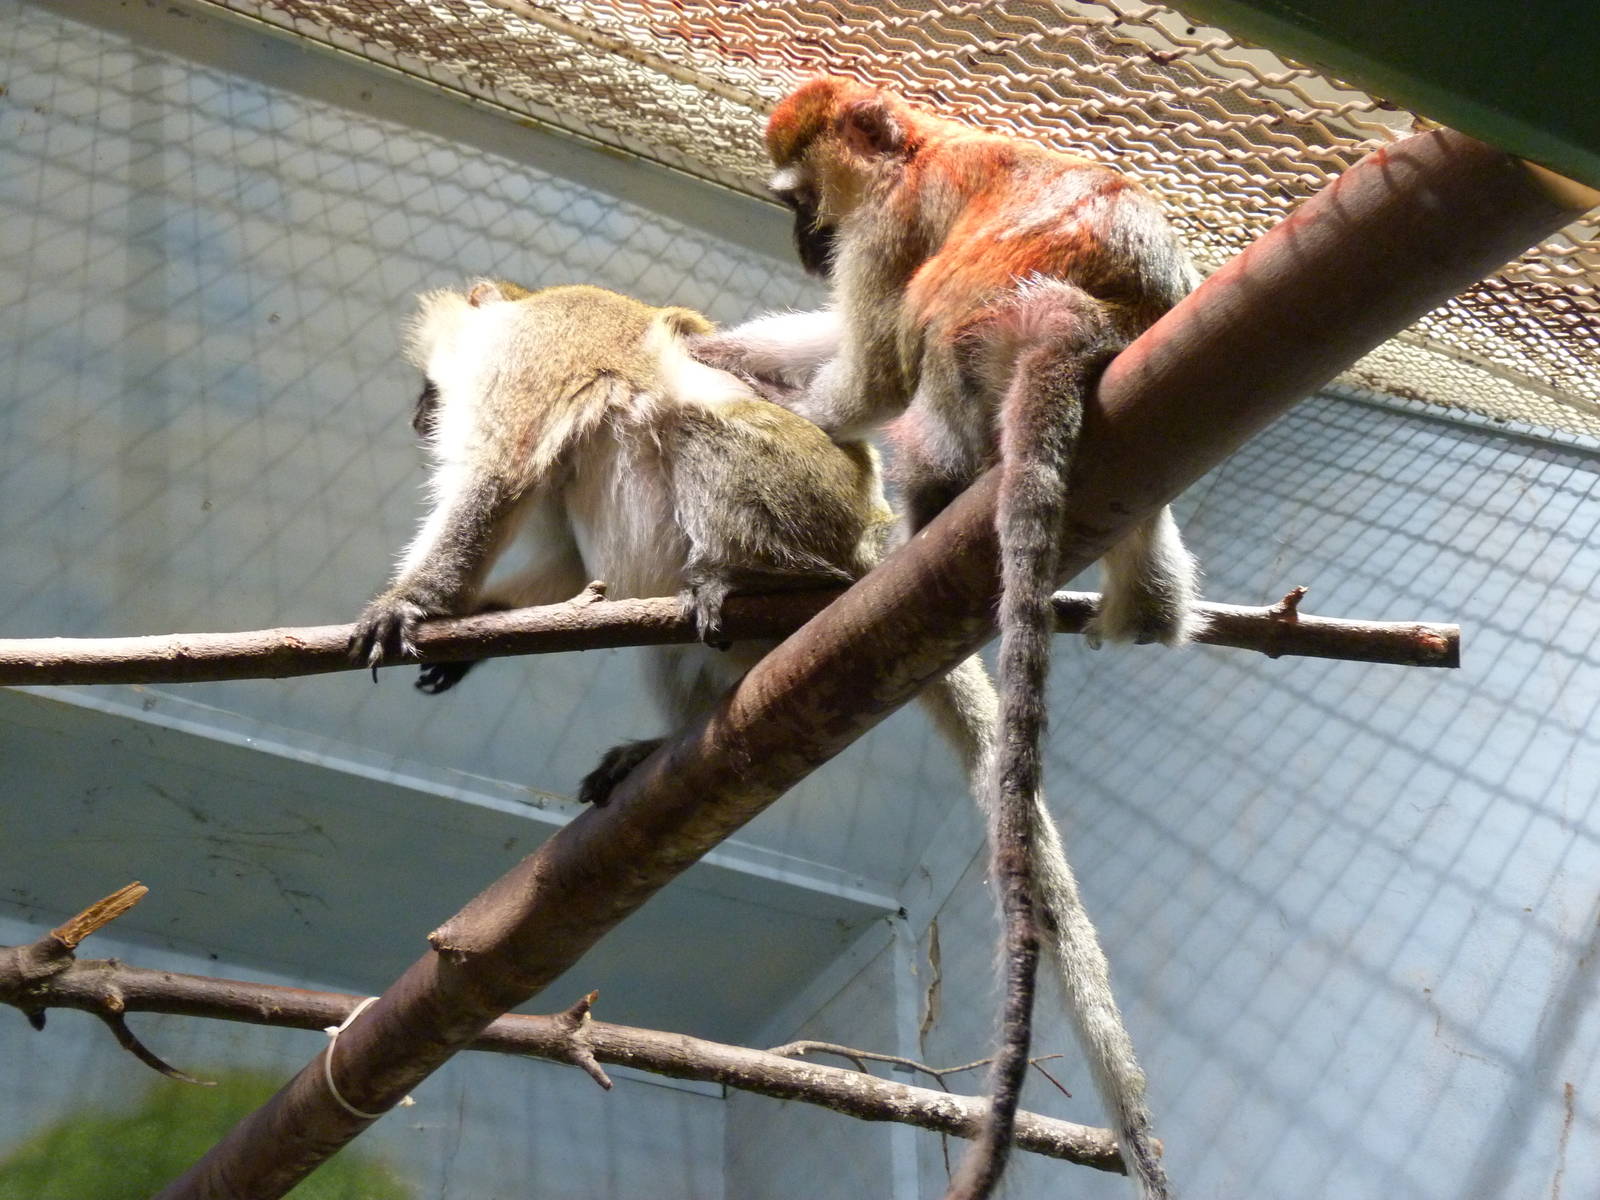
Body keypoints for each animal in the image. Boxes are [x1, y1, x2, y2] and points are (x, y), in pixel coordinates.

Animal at [689, 78, 1204, 1200]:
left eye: (803, 203)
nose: (804, 245)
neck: (930, 143)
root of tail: (1093, 319)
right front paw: (720, 351)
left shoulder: (890, 224)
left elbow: (875, 369)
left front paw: (766, 391)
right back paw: (1149, 605)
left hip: (979, 354)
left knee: (920, 384)